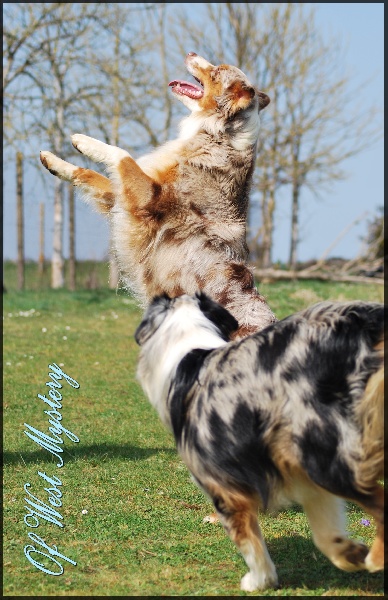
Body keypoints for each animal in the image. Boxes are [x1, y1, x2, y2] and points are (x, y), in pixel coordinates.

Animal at [39, 52, 276, 338]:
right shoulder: (123, 198)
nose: (191, 53)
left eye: (216, 72)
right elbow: (89, 174)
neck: (216, 135)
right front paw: (55, 159)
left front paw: (84, 141)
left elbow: (122, 154)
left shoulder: (148, 200)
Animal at [135, 292, 384, 592]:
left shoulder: (226, 488)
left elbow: (250, 544)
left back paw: (378, 557)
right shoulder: (305, 479)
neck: (189, 349)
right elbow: (325, 534)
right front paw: (349, 554)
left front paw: (259, 580)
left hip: (327, 461)